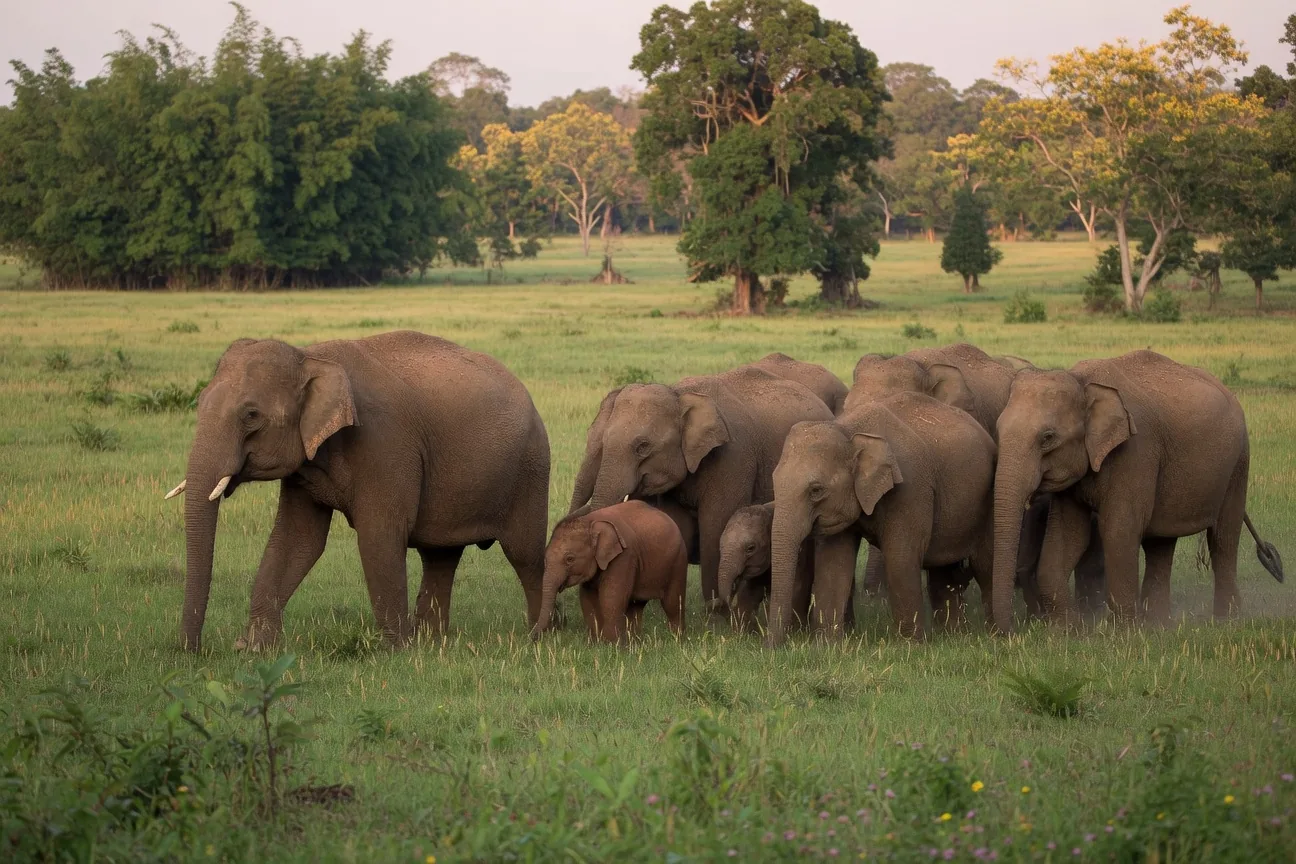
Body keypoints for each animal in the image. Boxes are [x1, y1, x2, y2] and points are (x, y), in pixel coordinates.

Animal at [165, 331, 550, 651]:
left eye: (251, 415)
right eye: (199, 402)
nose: (192, 651)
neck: (311, 356)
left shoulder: (385, 444)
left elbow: (380, 535)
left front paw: (396, 652)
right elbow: (297, 540)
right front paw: (254, 650)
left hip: (530, 471)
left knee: (525, 556)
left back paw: (539, 635)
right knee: (440, 556)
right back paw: (433, 641)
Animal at [536, 501, 688, 644]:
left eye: (570, 559)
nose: (534, 638)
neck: (590, 521)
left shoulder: (624, 556)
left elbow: (611, 597)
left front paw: (611, 645)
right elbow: (587, 598)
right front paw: (595, 643)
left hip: (678, 560)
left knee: (672, 603)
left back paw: (676, 640)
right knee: (636, 606)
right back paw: (635, 643)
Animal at [568, 366, 834, 609]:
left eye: (643, 446)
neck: (679, 394)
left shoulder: (732, 459)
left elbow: (715, 528)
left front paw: (716, 617)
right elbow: (677, 524)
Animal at [768, 392, 997, 644]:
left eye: (816, 490)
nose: (773, 647)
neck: (849, 430)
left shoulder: (911, 487)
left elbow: (900, 557)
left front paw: (911, 645)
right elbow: (834, 561)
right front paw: (826, 644)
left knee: (985, 565)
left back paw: (992, 633)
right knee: (944, 571)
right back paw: (953, 634)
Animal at [990, 349, 1284, 634]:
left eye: (1048, 437)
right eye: (998, 430)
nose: (1009, 632)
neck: (1081, 381)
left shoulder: (1136, 452)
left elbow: (1119, 529)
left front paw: (1123, 634)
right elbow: (1067, 535)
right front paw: (1064, 631)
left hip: (1238, 463)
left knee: (1223, 537)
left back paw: (1225, 620)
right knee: (1161, 543)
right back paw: (1158, 624)